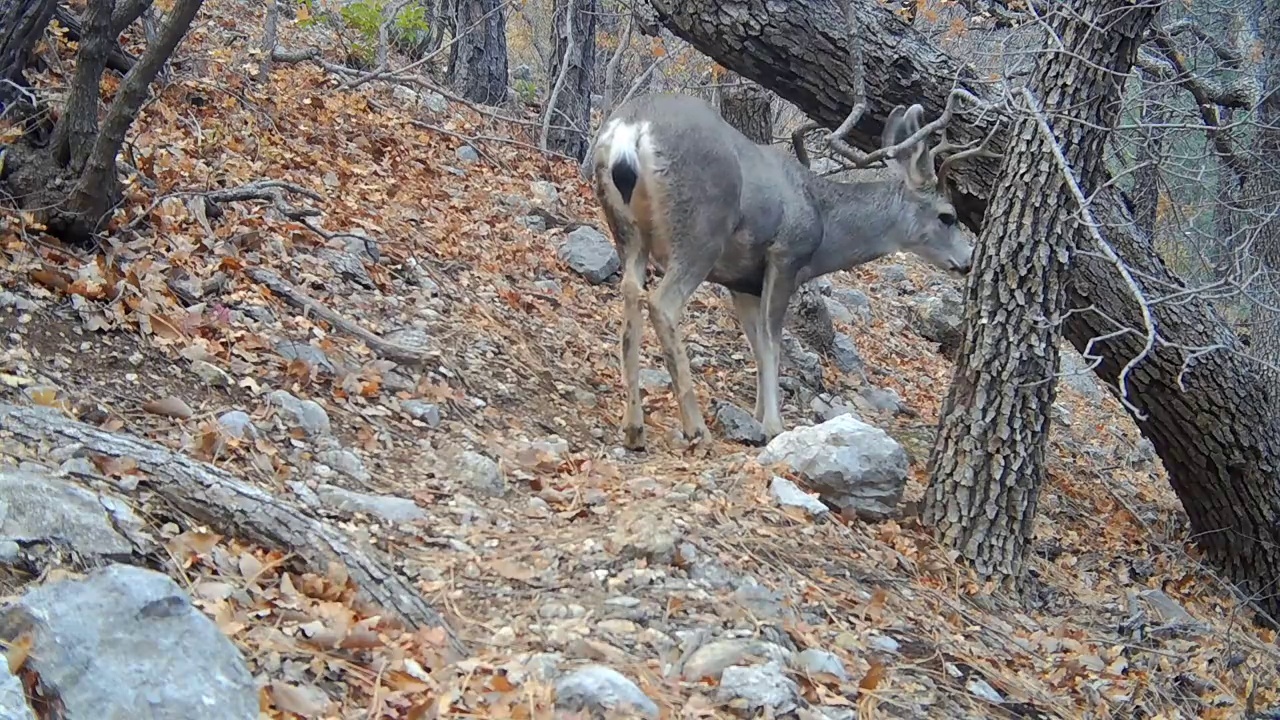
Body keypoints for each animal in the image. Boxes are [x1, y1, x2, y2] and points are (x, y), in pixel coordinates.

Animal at [586, 88, 998, 448]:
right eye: (947, 216)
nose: (966, 262)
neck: (823, 222)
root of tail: (628, 133)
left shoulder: (742, 281)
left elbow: (757, 345)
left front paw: (755, 416)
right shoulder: (785, 257)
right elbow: (773, 343)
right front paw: (773, 425)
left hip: (627, 232)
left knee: (630, 296)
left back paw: (634, 429)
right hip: (701, 231)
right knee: (663, 303)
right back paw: (696, 429)